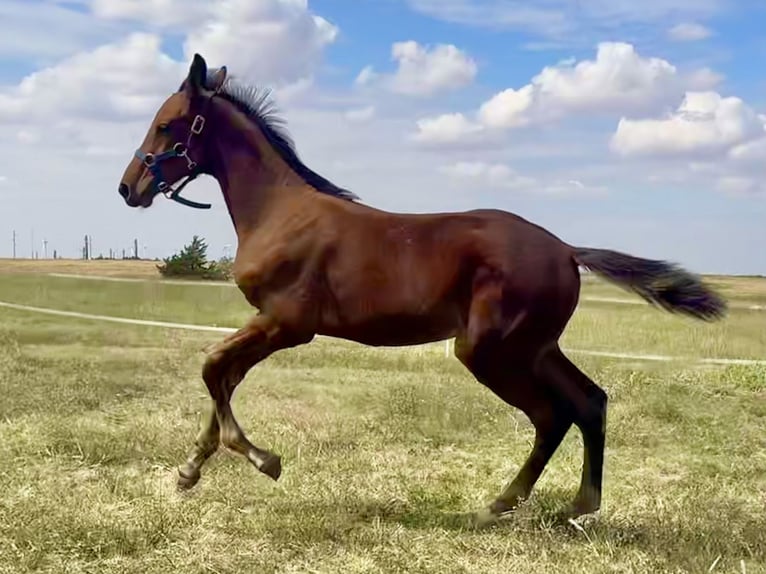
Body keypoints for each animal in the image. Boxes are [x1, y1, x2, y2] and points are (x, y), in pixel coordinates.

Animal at [117, 54, 728, 528]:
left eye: (169, 125)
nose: (128, 188)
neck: (280, 212)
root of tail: (567, 250)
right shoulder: (271, 324)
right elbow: (223, 374)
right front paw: (189, 470)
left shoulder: (287, 323)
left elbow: (213, 368)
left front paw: (264, 460)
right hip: (535, 347)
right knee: (589, 402)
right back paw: (579, 507)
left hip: (489, 351)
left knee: (551, 415)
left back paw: (498, 506)